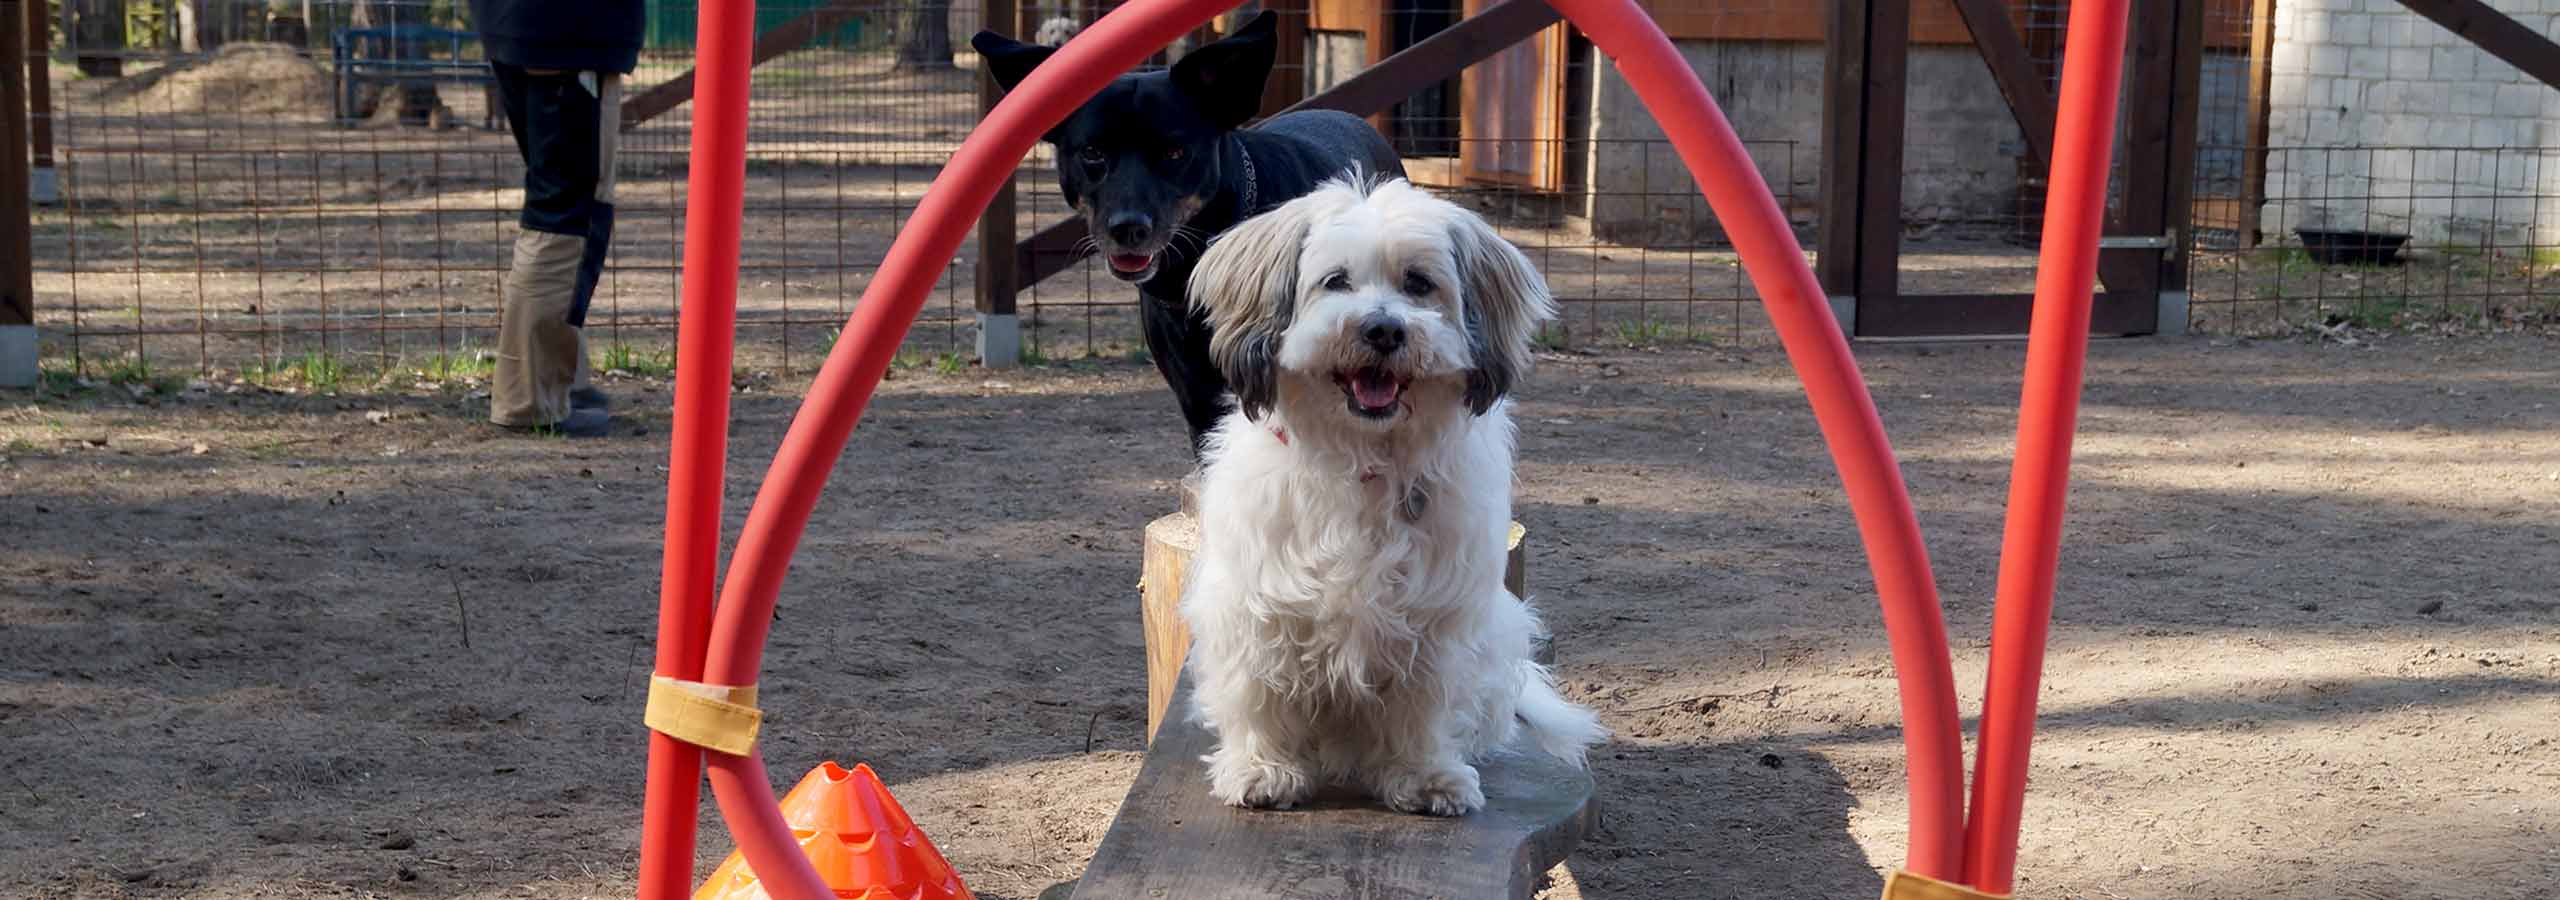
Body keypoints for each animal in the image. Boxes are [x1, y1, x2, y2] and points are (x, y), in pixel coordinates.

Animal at [1177, 173, 1597, 818]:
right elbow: (1260, 694)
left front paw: (1425, 776)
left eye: (1419, 283)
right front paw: (1263, 769)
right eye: (1334, 281)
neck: (1362, 460)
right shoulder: (1258, 606)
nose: (1382, 329)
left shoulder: (1433, 620)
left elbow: (1421, 707)